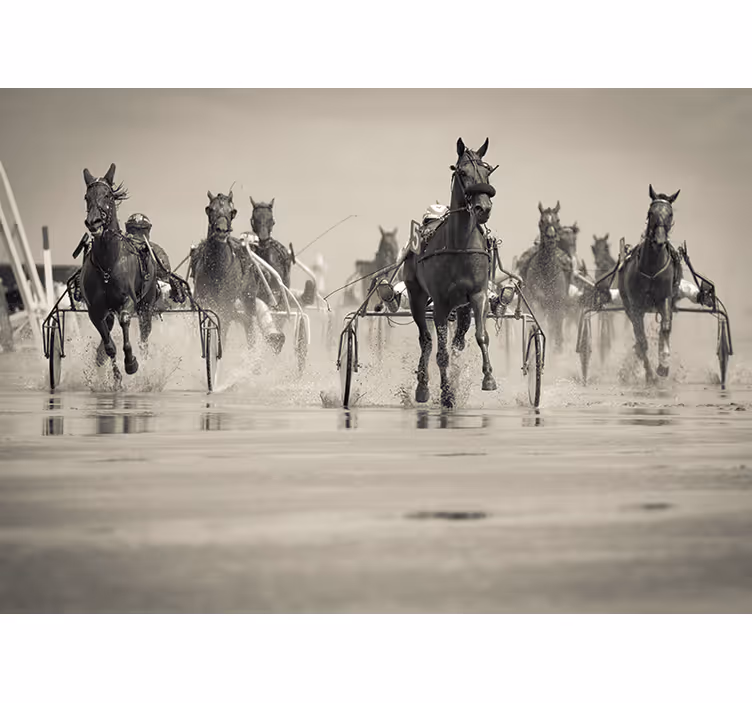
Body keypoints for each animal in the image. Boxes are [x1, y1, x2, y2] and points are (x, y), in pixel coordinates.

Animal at [80, 163, 158, 384]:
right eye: (86, 197)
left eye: (107, 195)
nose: (94, 222)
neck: (108, 263)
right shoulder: (95, 311)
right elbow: (108, 346)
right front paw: (116, 377)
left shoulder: (128, 301)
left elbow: (125, 321)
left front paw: (131, 363)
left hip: (146, 306)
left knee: (144, 338)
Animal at [189, 191, 267, 350]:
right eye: (211, 209)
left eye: (232, 212)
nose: (222, 231)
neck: (217, 269)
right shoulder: (203, 301)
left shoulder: (225, 306)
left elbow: (222, 333)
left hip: (248, 298)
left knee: (249, 326)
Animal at [402, 137, 497, 408]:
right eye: (462, 172)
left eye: (487, 171)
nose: (483, 208)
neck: (460, 245)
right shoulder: (441, 303)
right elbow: (441, 353)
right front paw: (446, 394)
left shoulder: (478, 295)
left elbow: (481, 336)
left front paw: (488, 378)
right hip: (416, 296)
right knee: (426, 340)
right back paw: (423, 387)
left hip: (461, 306)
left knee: (458, 340)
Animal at [521, 201, 571, 351]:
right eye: (541, 221)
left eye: (557, 220)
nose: (550, 237)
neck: (547, 273)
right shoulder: (536, 303)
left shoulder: (557, 304)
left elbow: (557, 329)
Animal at [618, 185, 681, 383]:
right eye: (650, 212)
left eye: (670, 213)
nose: (659, 240)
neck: (652, 268)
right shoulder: (636, 305)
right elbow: (642, 339)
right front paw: (650, 373)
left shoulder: (665, 298)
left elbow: (666, 328)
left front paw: (663, 366)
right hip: (628, 306)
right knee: (639, 336)